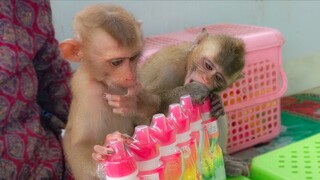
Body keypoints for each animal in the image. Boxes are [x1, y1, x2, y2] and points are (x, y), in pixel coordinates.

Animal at [59, 4, 159, 180]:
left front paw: (136, 102)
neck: (106, 83)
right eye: (116, 62)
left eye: (134, 57)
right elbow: (77, 143)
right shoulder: (86, 90)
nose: (130, 75)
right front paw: (102, 150)